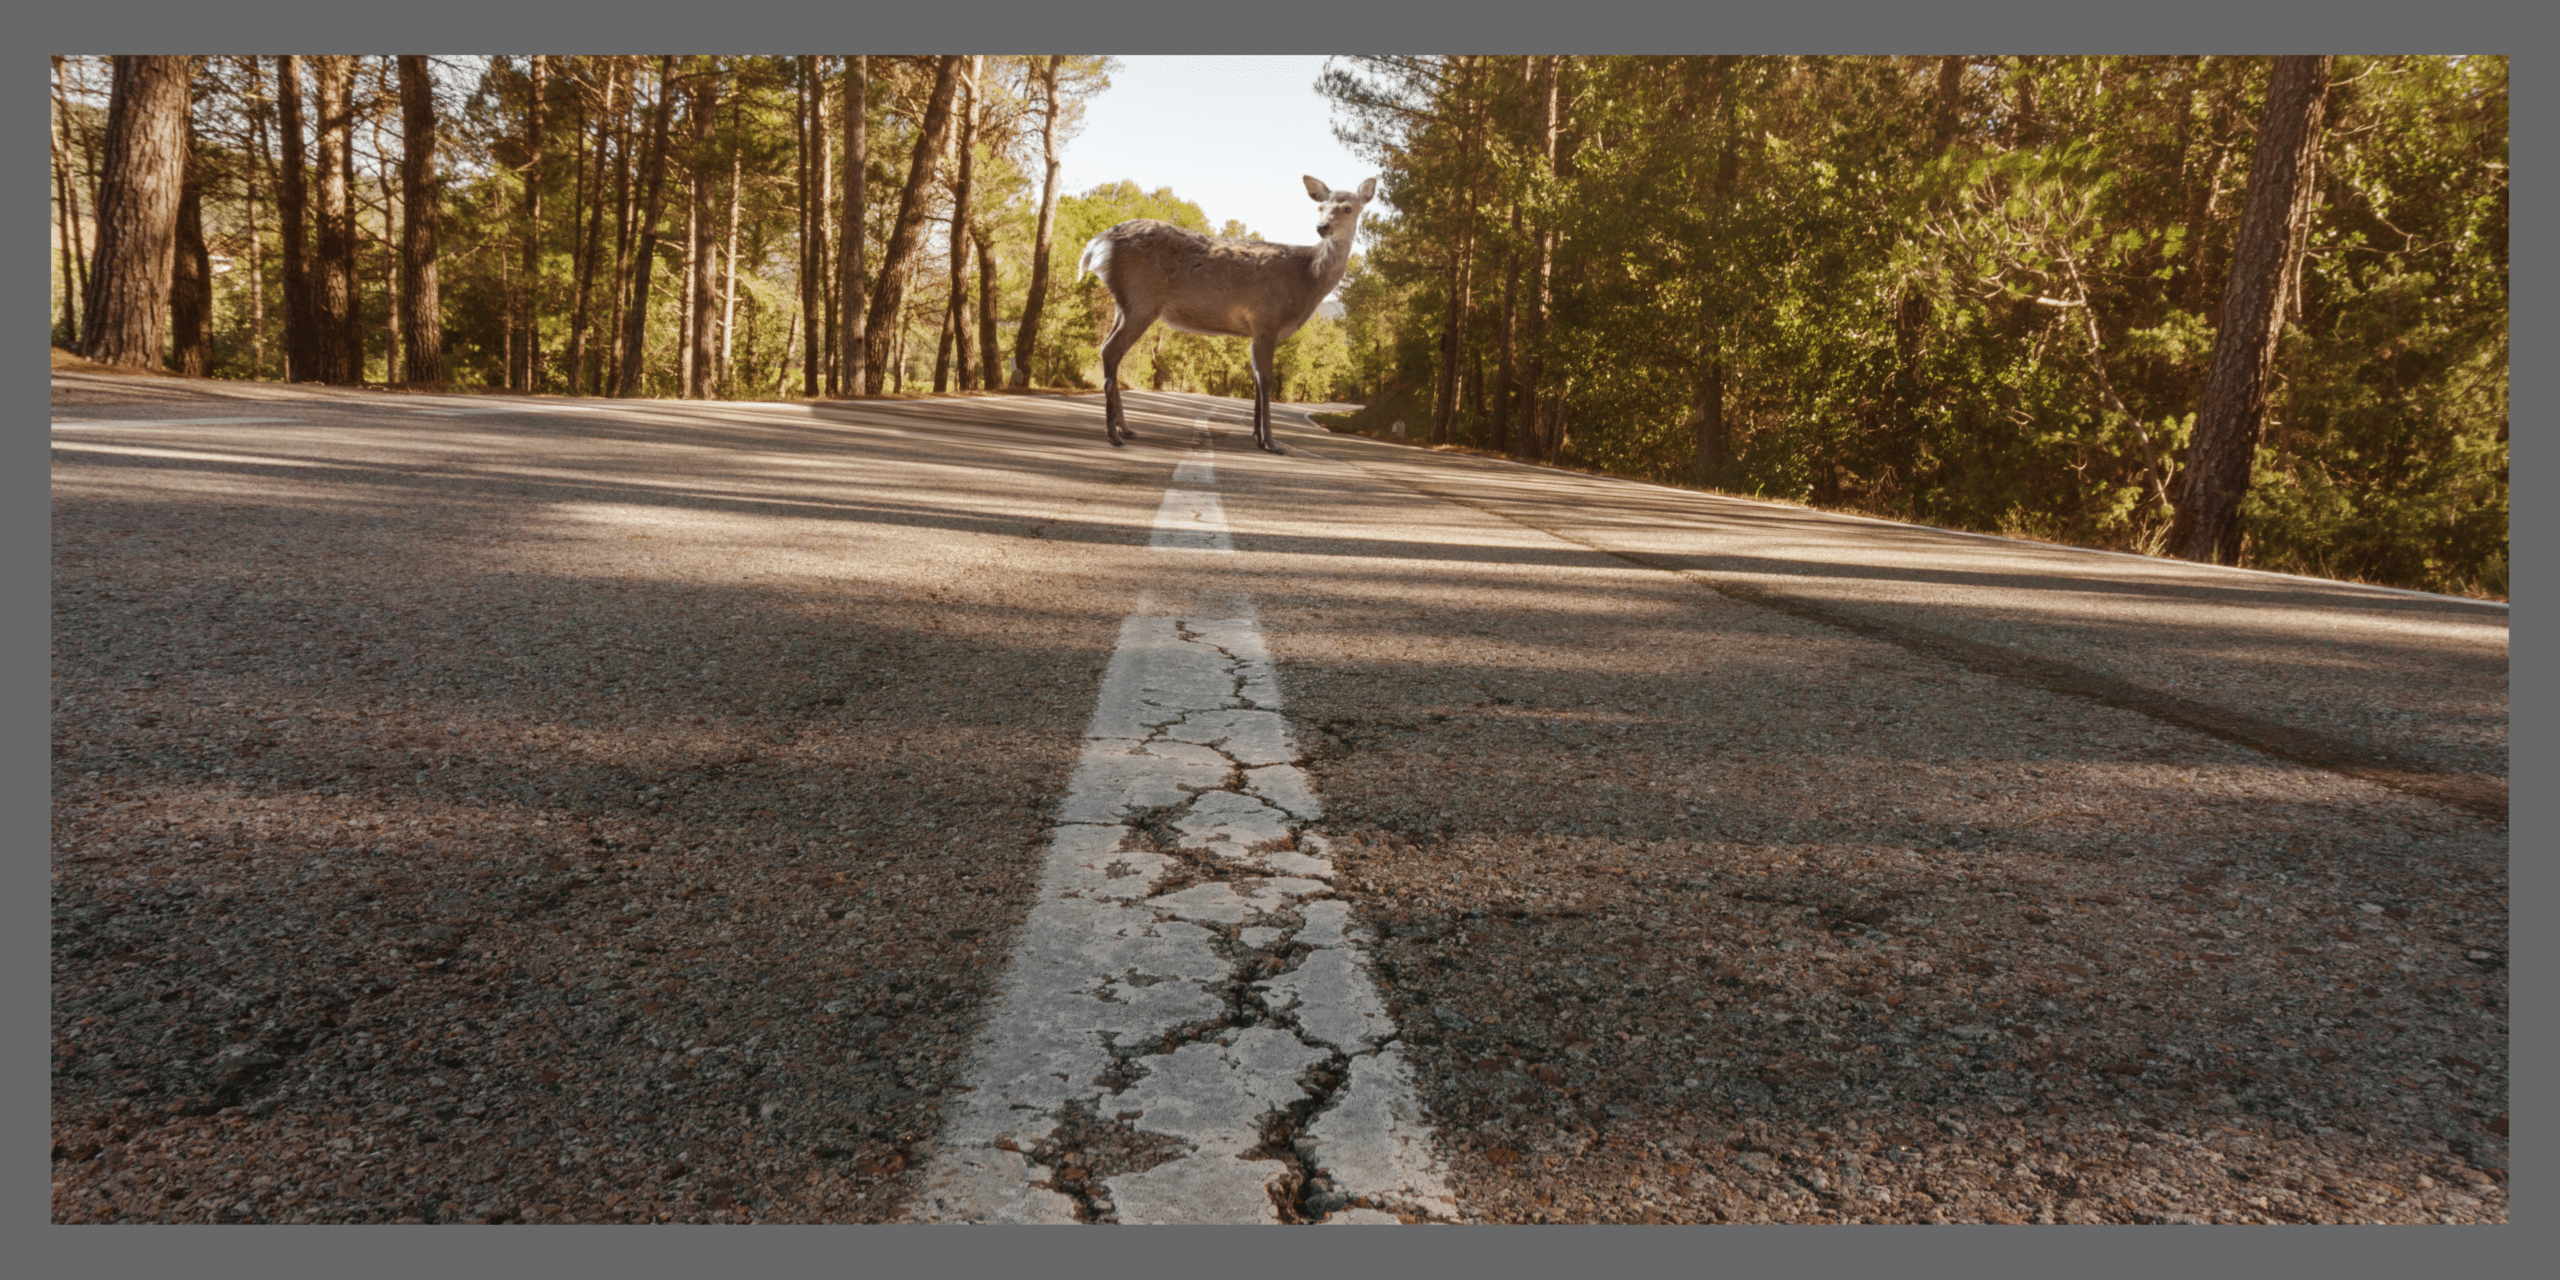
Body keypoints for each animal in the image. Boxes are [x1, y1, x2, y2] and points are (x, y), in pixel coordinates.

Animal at [1077, 175, 1375, 453]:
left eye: (1348, 208)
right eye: (1321, 207)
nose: (1322, 227)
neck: (1307, 279)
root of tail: (1096, 244)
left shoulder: (1256, 329)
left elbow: (1255, 379)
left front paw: (1257, 437)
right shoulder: (1266, 319)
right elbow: (1265, 380)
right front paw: (1270, 442)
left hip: (1126, 303)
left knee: (1107, 348)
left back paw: (1126, 429)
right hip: (1142, 299)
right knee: (1110, 350)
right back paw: (1114, 435)